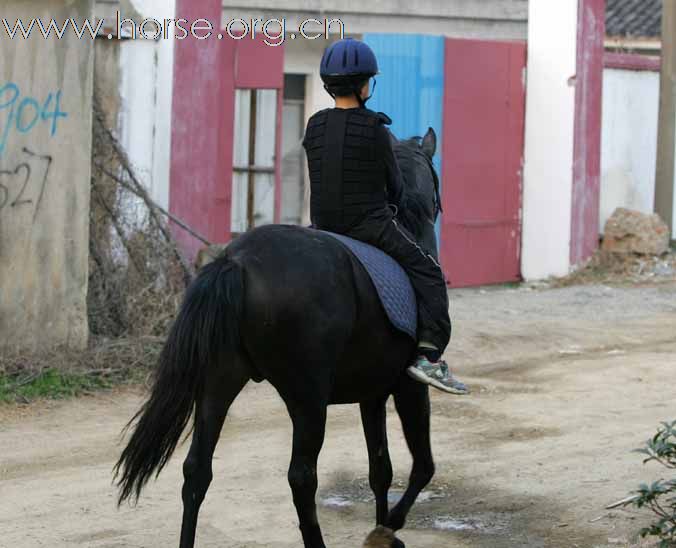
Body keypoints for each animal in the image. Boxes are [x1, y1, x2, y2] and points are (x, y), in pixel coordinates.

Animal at [115, 128, 444, 548]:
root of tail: (236, 262)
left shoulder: (372, 393)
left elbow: (380, 469)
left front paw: (382, 529)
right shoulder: (408, 386)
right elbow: (422, 466)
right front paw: (388, 528)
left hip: (219, 383)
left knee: (196, 471)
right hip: (308, 400)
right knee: (302, 478)